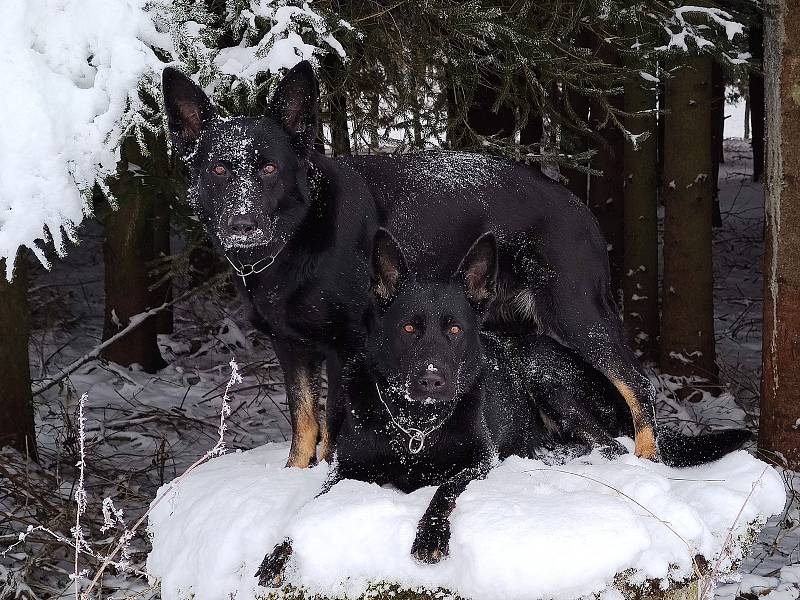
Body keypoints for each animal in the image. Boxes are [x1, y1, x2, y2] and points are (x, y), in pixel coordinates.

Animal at [258, 231, 752, 584]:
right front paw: (275, 555)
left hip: (548, 383)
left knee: (607, 445)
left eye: (455, 329)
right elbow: (300, 515)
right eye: (409, 328)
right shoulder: (343, 472)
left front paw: (430, 537)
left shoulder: (479, 461)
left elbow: (443, 489)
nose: (433, 380)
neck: (416, 426)